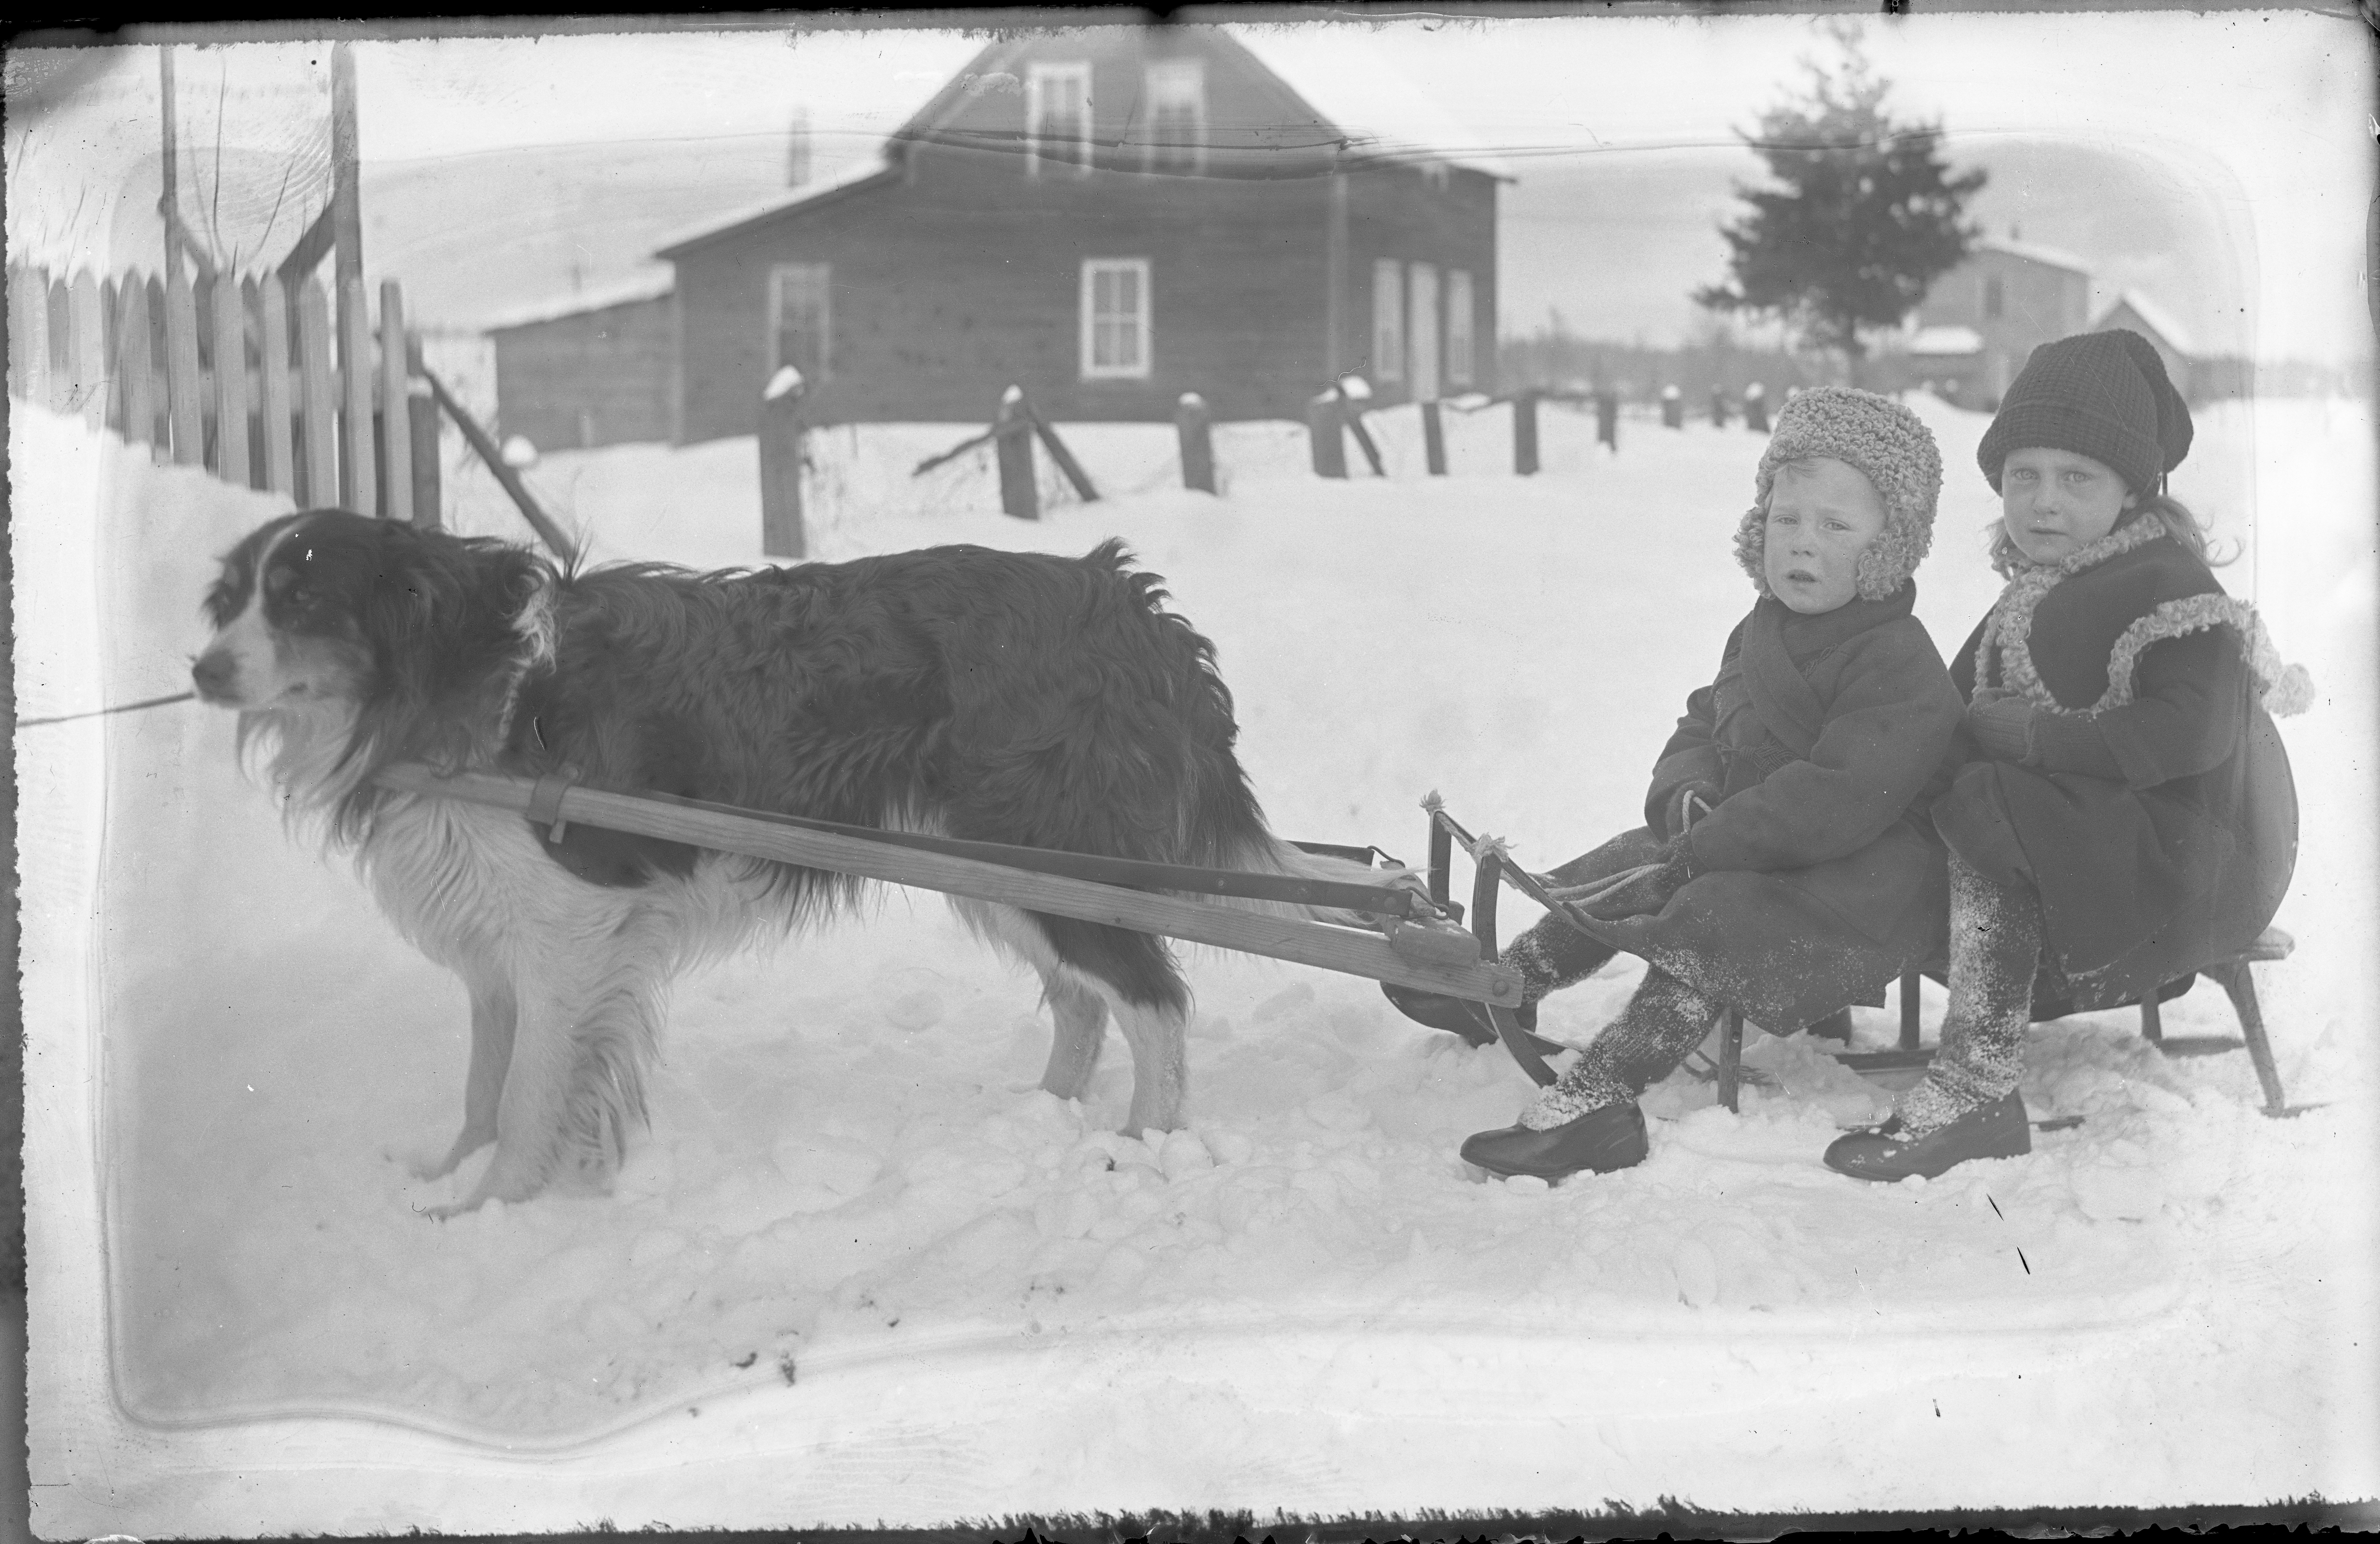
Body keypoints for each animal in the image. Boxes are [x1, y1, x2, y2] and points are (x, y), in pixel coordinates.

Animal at [195, 511, 1390, 1208]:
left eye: (302, 598)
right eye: (233, 595)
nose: (200, 668)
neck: (456, 678)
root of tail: (1131, 601)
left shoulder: (569, 928)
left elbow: (532, 1095)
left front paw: (489, 1212)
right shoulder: (501, 945)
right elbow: (487, 1083)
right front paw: (445, 1177)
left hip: (1059, 856)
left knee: (1153, 1001)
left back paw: (1142, 1141)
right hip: (989, 862)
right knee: (1081, 999)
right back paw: (1039, 1113)